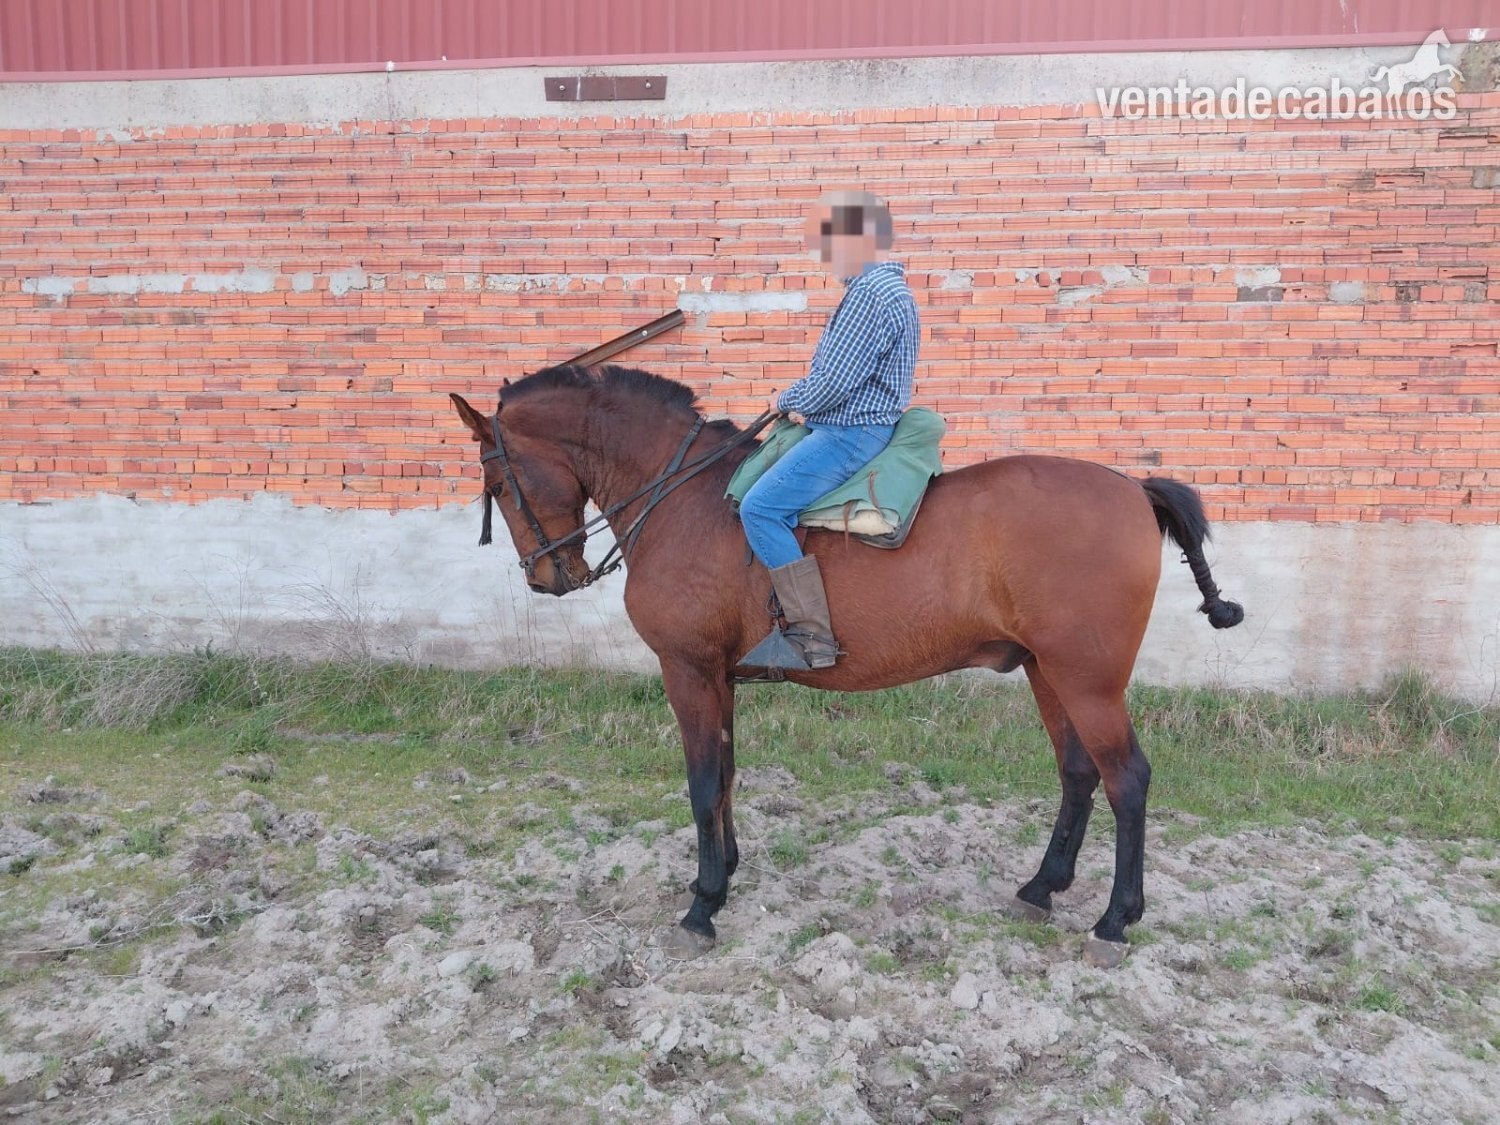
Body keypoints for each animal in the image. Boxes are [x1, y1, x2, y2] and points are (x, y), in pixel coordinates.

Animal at [450, 363, 1243, 967]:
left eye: (497, 478)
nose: (546, 576)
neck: (685, 499)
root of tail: (1133, 487)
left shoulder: (689, 670)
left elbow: (703, 783)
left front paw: (702, 907)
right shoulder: (718, 678)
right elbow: (726, 775)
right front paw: (725, 872)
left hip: (1087, 679)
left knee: (1127, 780)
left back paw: (1114, 919)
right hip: (1048, 671)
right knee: (1079, 773)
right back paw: (1043, 886)